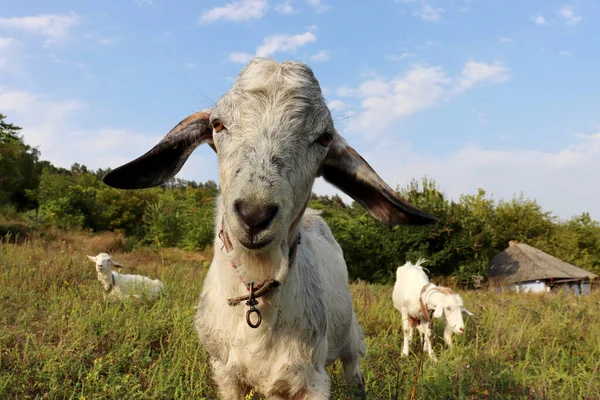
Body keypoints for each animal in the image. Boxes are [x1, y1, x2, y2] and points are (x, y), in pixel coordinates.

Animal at [99, 57, 436, 398]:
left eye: (324, 137)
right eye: (217, 124)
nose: (254, 215)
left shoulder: (313, 380)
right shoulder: (226, 374)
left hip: (350, 340)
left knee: (355, 375)